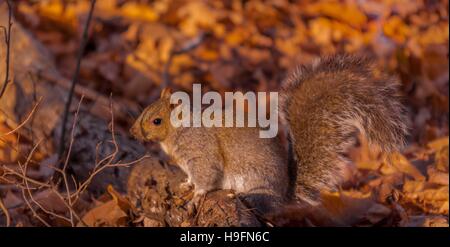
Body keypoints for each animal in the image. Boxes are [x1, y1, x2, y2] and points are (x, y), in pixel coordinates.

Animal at [129, 54, 408, 214]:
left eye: (156, 121)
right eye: (145, 109)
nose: (132, 132)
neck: (181, 130)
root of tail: (284, 198)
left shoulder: (201, 152)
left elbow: (207, 175)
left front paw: (197, 195)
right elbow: (191, 177)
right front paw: (187, 183)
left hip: (254, 180)